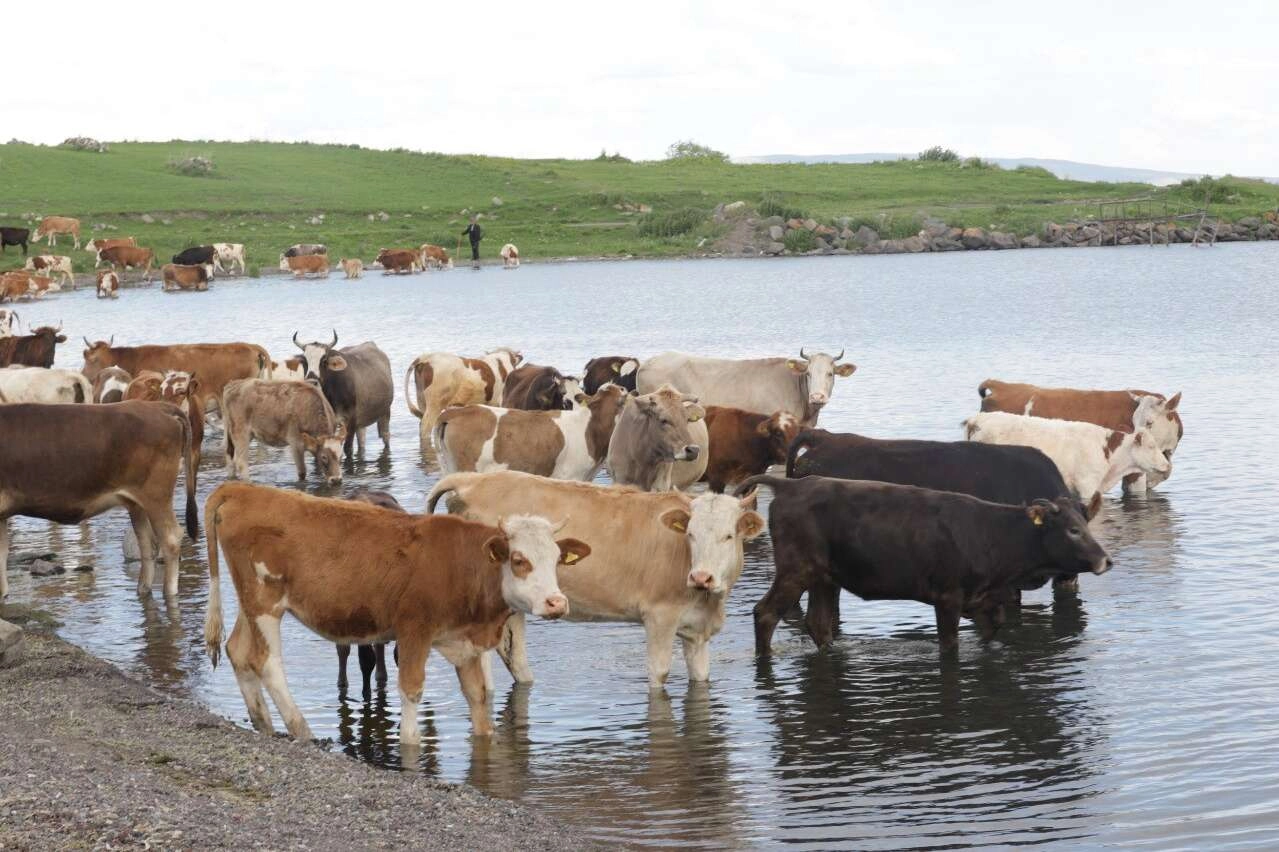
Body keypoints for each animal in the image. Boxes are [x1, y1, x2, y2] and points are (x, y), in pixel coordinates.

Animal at [0, 401, 197, 599]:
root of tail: (158, 406)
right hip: (137, 504)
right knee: (148, 544)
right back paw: (143, 589)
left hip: (156, 496)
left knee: (170, 539)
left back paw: (168, 593)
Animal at [203, 481, 589, 741]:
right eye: (519, 560)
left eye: (557, 558)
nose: (557, 602)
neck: (461, 563)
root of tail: (242, 489)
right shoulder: (414, 629)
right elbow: (412, 691)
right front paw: (409, 744)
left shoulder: (464, 643)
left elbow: (478, 698)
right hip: (264, 601)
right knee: (266, 661)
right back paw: (302, 729)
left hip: (249, 600)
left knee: (238, 650)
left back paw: (263, 723)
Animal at [427, 470, 763, 687]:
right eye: (691, 534)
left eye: (728, 536)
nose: (701, 576)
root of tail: (472, 478)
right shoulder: (659, 618)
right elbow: (659, 672)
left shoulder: (697, 633)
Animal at [739, 475, 1111, 656]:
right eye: (1073, 530)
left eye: (1086, 522)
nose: (1105, 560)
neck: (994, 534)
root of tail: (792, 484)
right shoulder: (947, 598)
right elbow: (949, 644)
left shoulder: (984, 600)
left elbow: (992, 632)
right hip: (796, 570)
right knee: (766, 613)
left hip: (825, 578)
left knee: (818, 623)